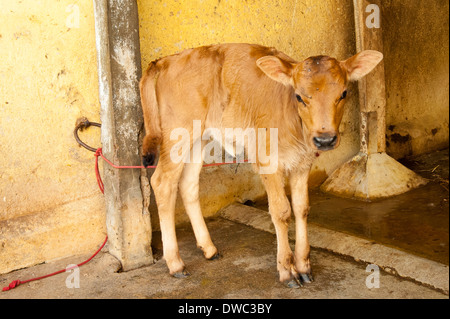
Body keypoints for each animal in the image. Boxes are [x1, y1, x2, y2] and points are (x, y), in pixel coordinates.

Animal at [139, 43, 382, 290]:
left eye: (343, 93)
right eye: (299, 97)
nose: (325, 140)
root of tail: (167, 59)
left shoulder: (302, 163)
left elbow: (302, 209)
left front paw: (304, 266)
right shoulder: (268, 161)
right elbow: (281, 211)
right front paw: (287, 270)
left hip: (200, 136)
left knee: (188, 184)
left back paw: (209, 249)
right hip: (177, 133)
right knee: (163, 182)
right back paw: (175, 263)